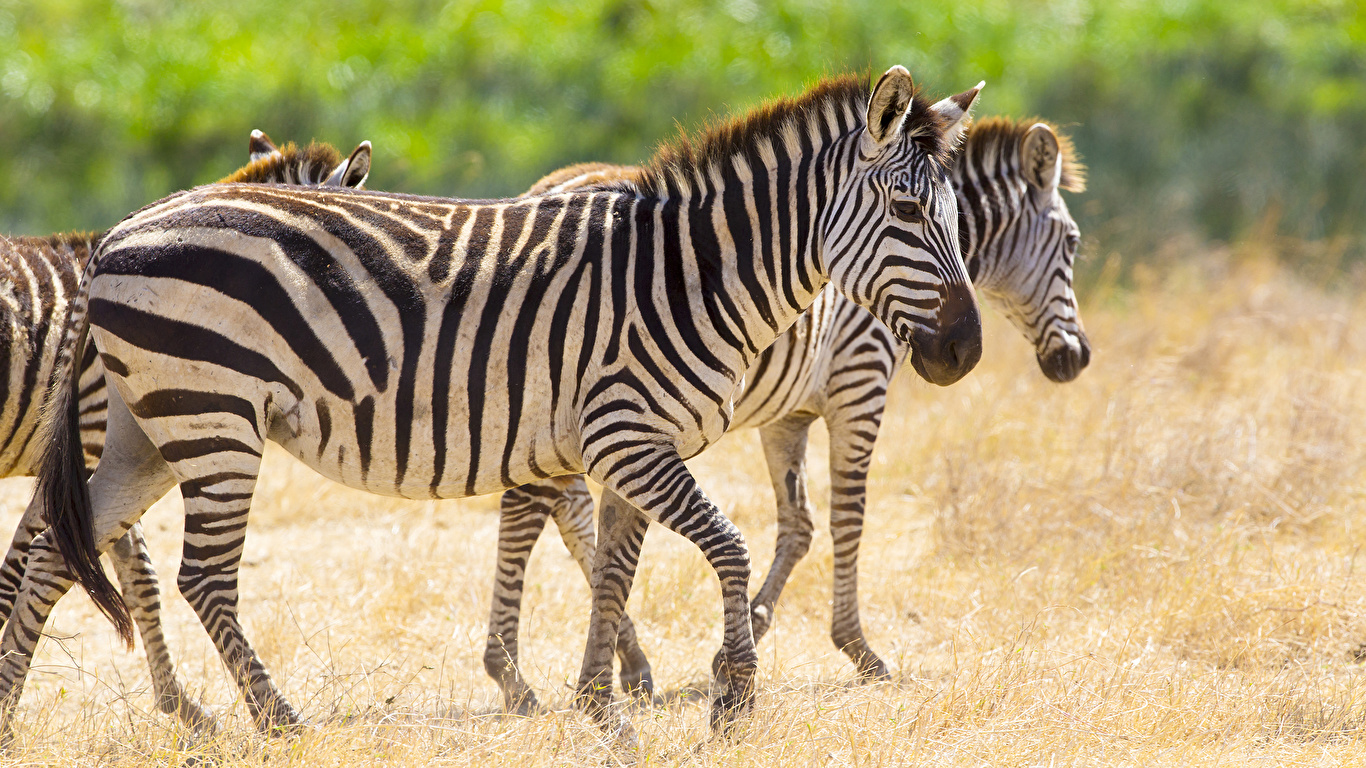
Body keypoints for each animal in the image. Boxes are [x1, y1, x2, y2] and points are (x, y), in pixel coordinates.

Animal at [480, 114, 1087, 710]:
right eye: (1073, 243)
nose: (1076, 359)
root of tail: (540, 190)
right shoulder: (859, 382)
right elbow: (848, 518)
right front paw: (857, 649)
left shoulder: (786, 416)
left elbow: (798, 524)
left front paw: (744, 634)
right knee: (528, 511)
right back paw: (514, 676)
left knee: (564, 511)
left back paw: (619, 659)